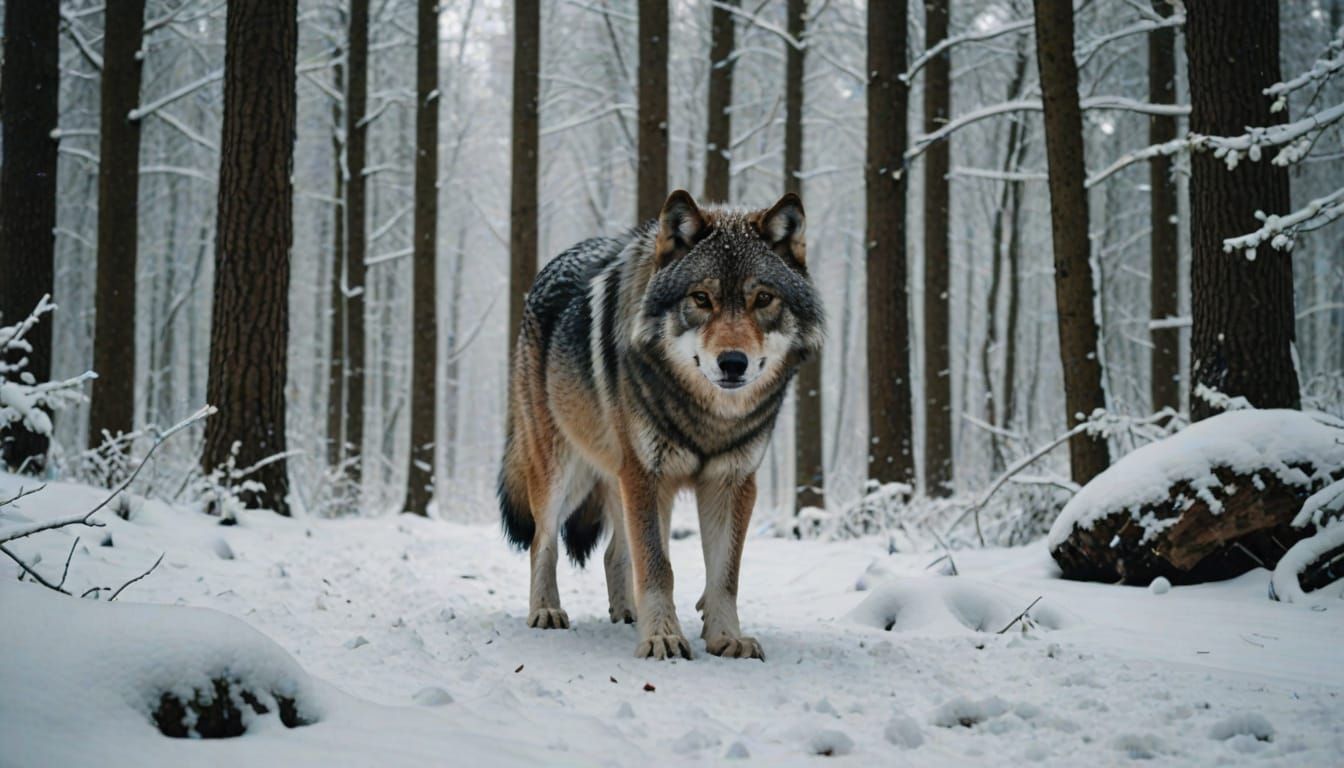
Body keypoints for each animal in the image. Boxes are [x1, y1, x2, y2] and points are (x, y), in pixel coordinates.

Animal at [498, 189, 822, 660]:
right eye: (701, 298)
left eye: (763, 299)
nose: (733, 362)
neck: (707, 418)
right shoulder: (646, 475)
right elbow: (657, 566)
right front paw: (663, 637)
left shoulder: (731, 481)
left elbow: (724, 574)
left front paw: (726, 637)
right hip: (564, 469)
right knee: (544, 540)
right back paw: (546, 611)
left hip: (614, 478)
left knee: (614, 552)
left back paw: (627, 614)